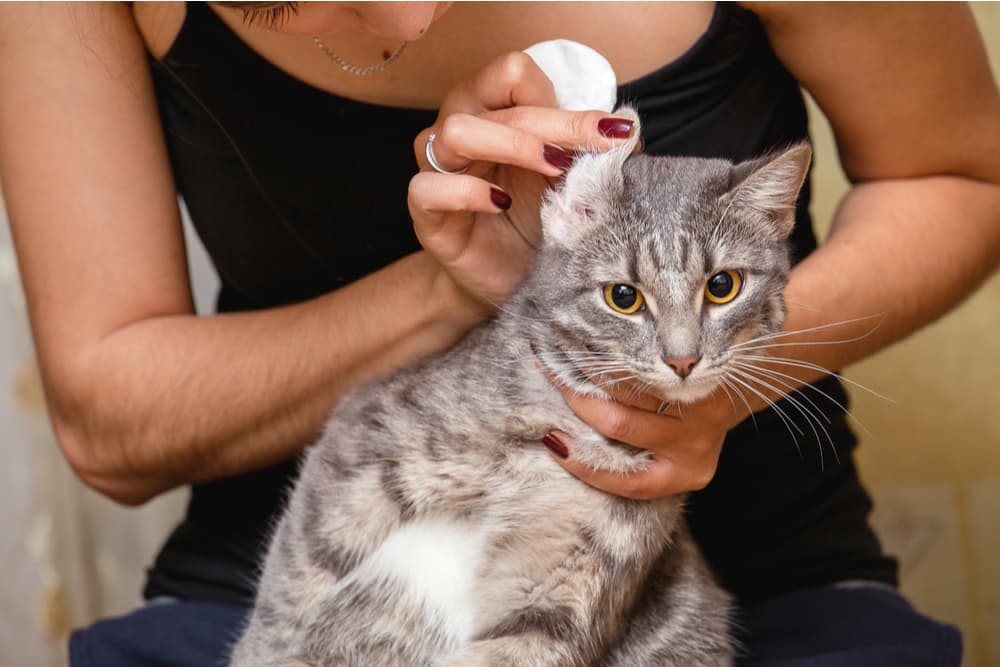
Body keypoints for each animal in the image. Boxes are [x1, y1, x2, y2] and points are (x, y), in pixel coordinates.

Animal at [232, 111, 812, 667]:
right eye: (623, 296)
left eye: (723, 286)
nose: (683, 359)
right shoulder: (363, 435)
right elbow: (297, 579)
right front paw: (269, 648)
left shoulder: (565, 596)